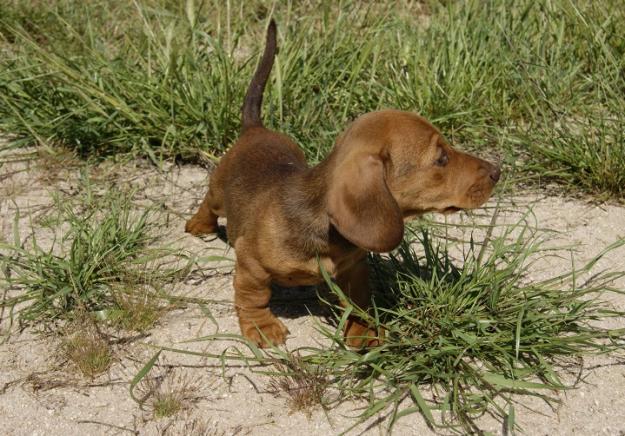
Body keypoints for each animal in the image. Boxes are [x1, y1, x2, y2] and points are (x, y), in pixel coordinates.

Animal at [184, 19, 498, 348]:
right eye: (441, 158)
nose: (497, 171)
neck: (323, 228)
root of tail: (255, 129)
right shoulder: (250, 262)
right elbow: (252, 296)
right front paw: (261, 326)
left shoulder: (353, 269)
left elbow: (359, 301)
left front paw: (364, 330)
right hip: (219, 192)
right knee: (208, 204)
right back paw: (199, 225)